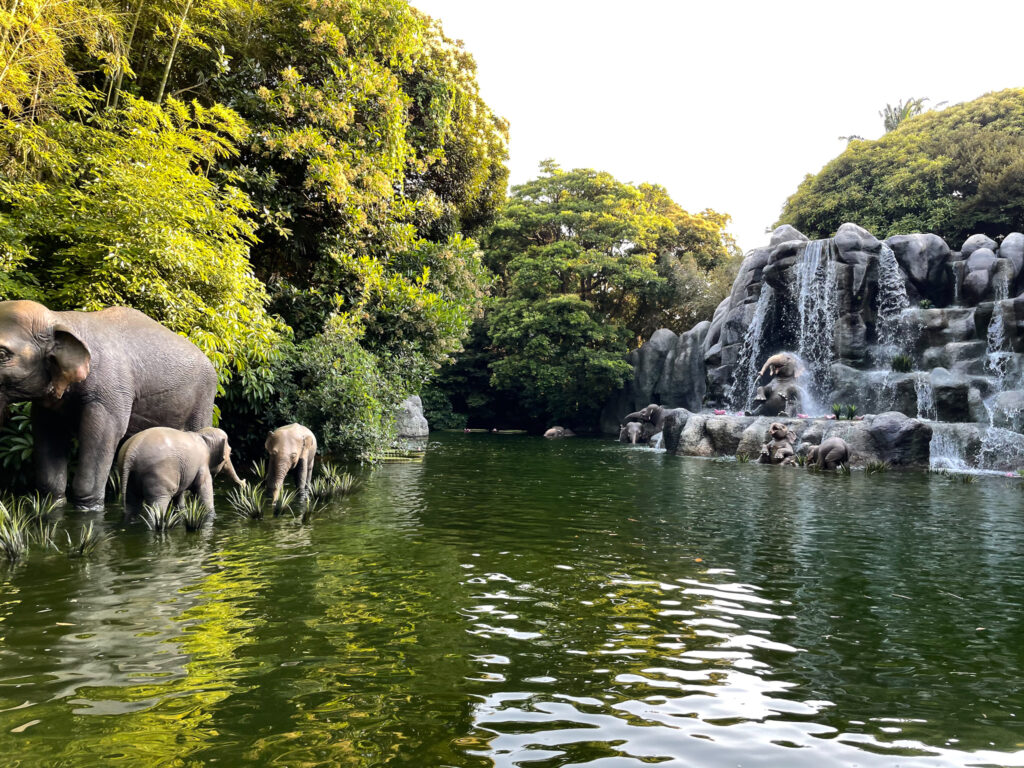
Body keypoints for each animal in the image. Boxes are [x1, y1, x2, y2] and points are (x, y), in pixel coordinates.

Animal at [0, 301, 216, 512]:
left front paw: (88, 511)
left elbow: (104, 436)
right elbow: (49, 438)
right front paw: (54, 505)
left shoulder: (110, 391)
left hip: (204, 398)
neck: (61, 319)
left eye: (2, 354)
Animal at [117, 423, 245, 520]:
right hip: (158, 475)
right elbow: (203, 489)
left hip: (130, 476)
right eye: (230, 452)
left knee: (132, 503)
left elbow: (180, 495)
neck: (202, 435)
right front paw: (211, 516)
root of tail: (131, 451)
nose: (244, 483)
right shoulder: (202, 465)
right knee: (159, 503)